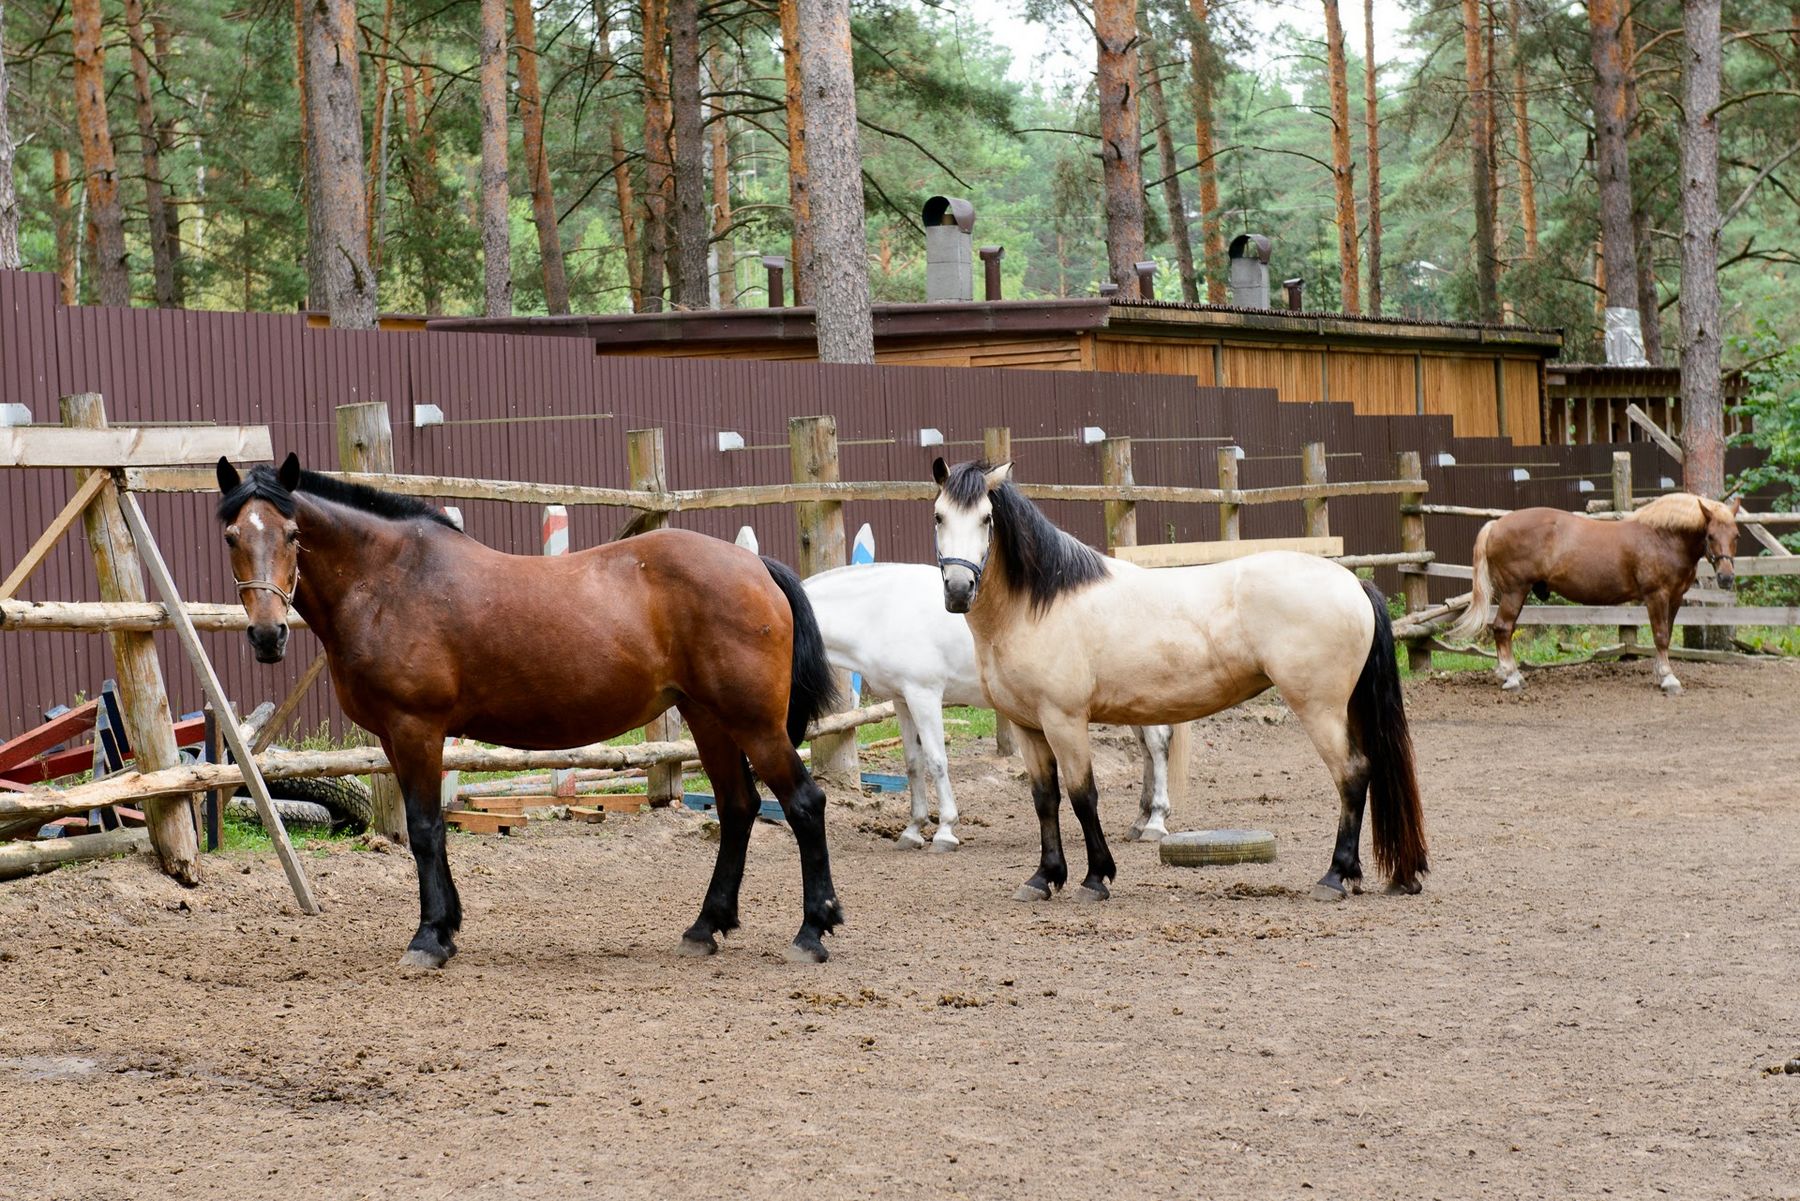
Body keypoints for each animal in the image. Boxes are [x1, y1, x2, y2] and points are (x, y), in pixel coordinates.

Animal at [215, 453, 845, 968]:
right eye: (231, 536)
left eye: (293, 533)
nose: (267, 636)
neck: (390, 580)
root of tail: (756, 567)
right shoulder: (396, 739)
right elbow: (432, 826)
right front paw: (447, 928)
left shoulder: (416, 729)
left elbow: (424, 827)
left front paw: (428, 939)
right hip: (708, 718)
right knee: (738, 808)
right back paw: (705, 926)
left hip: (754, 724)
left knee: (803, 803)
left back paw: (812, 932)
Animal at [802, 562, 1181, 851]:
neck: (881, 610)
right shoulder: (902, 700)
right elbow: (913, 764)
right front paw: (913, 830)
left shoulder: (924, 694)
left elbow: (937, 761)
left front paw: (945, 831)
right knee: (1146, 749)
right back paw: (1139, 820)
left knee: (1157, 745)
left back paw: (1155, 823)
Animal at [930, 457, 1428, 905]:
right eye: (938, 515)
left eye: (986, 518)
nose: (957, 590)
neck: (1040, 604)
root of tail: (1352, 583)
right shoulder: (1028, 726)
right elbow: (1045, 800)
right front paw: (1043, 878)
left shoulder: (1064, 720)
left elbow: (1083, 796)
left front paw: (1096, 878)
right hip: (1347, 709)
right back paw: (1361, 875)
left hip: (1320, 709)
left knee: (1352, 774)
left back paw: (1334, 876)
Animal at [1443, 492, 1741, 694]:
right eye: (1710, 535)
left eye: (1736, 535)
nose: (1726, 578)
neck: (1661, 536)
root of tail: (1496, 525)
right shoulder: (1657, 596)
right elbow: (1661, 636)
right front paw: (1668, 678)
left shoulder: (1676, 598)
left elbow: (1665, 635)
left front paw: (1660, 673)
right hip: (1515, 591)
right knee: (1502, 628)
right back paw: (1512, 678)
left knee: (1505, 629)